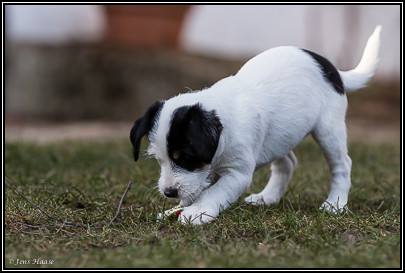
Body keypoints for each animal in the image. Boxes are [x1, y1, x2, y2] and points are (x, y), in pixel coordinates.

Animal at [131, 25, 380, 224]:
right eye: (158, 160)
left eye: (184, 156)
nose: (169, 192)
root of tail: (332, 70)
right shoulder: (209, 171)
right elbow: (199, 187)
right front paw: (180, 207)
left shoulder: (238, 173)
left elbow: (216, 192)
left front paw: (197, 212)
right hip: (279, 136)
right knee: (287, 163)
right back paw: (267, 198)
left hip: (328, 129)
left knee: (342, 164)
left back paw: (335, 204)